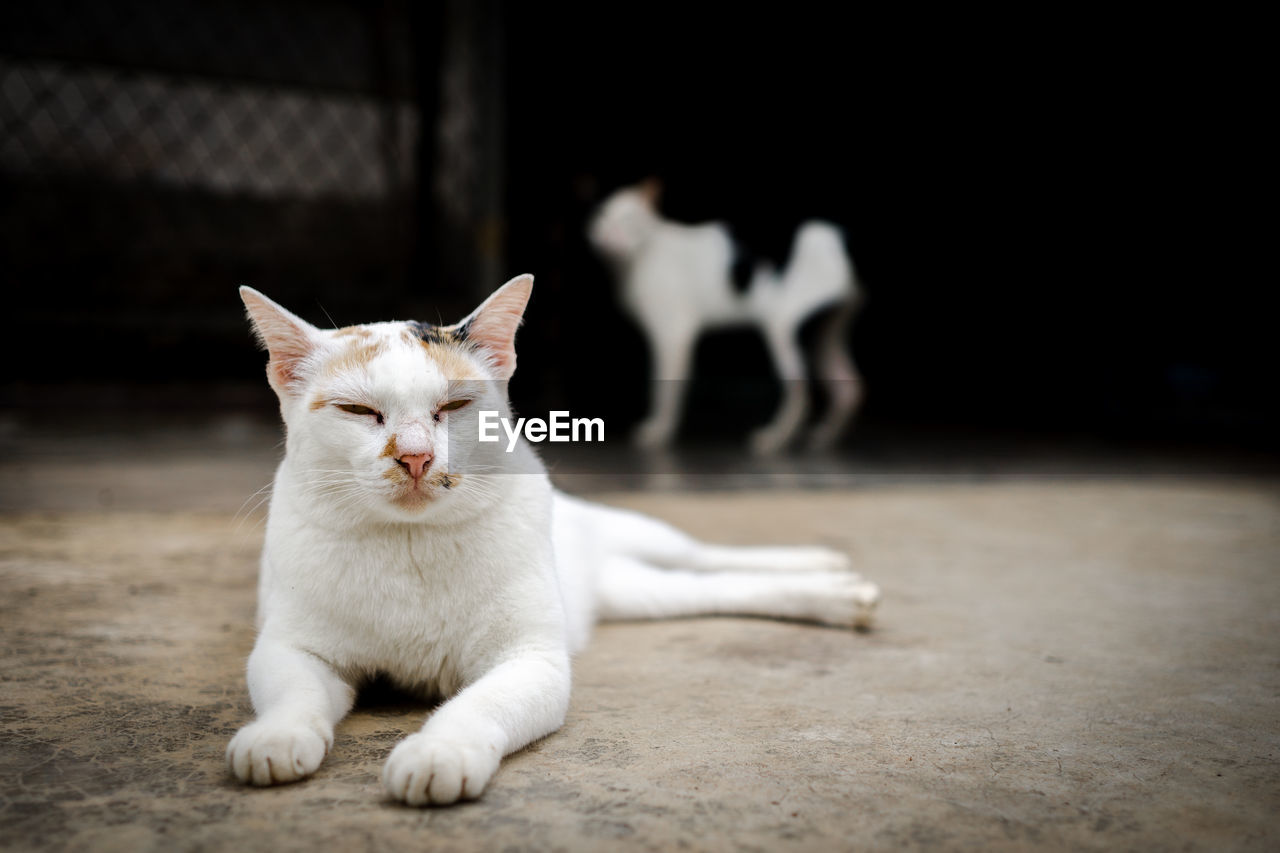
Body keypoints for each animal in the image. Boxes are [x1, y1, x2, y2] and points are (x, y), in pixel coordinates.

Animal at [227, 275, 880, 799]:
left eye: (454, 405)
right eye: (359, 411)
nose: (414, 457)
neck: (409, 544)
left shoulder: (531, 661)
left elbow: (477, 705)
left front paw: (440, 751)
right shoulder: (289, 647)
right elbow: (293, 694)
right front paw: (275, 737)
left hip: (646, 536)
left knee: (710, 556)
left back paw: (825, 569)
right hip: (636, 593)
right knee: (713, 588)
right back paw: (835, 593)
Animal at [586, 180, 865, 450]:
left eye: (629, 219)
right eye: (601, 215)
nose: (611, 236)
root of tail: (841, 237)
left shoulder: (673, 334)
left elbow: (663, 386)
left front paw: (659, 431)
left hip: (783, 326)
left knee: (801, 392)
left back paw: (775, 439)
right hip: (827, 332)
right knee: (849, 387)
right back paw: (824, 437)